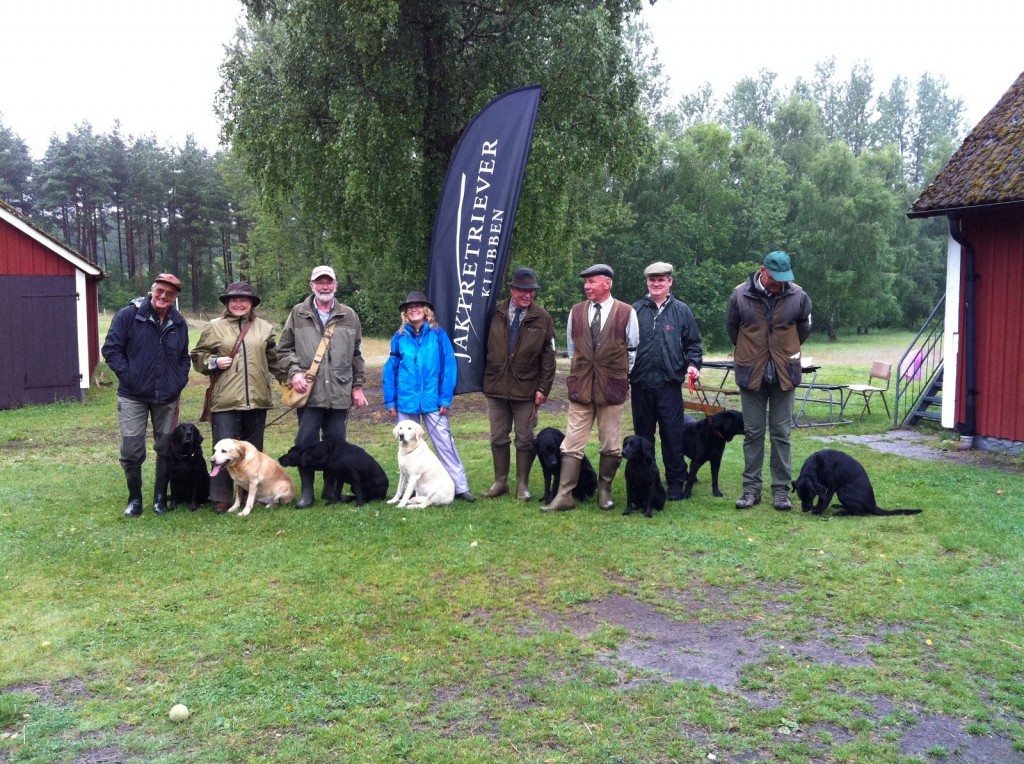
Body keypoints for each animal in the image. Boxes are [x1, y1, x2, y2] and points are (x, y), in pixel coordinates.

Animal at [786, 446, 925, 518]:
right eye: (799, 496)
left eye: (811, 496)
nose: (805, 510)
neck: (815, 464)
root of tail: (872, 504)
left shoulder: (830, 487)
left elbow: (823, 500)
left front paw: (818, 511)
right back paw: (839, 507)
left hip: (842, 491)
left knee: (860, 512)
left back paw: (841, 512)